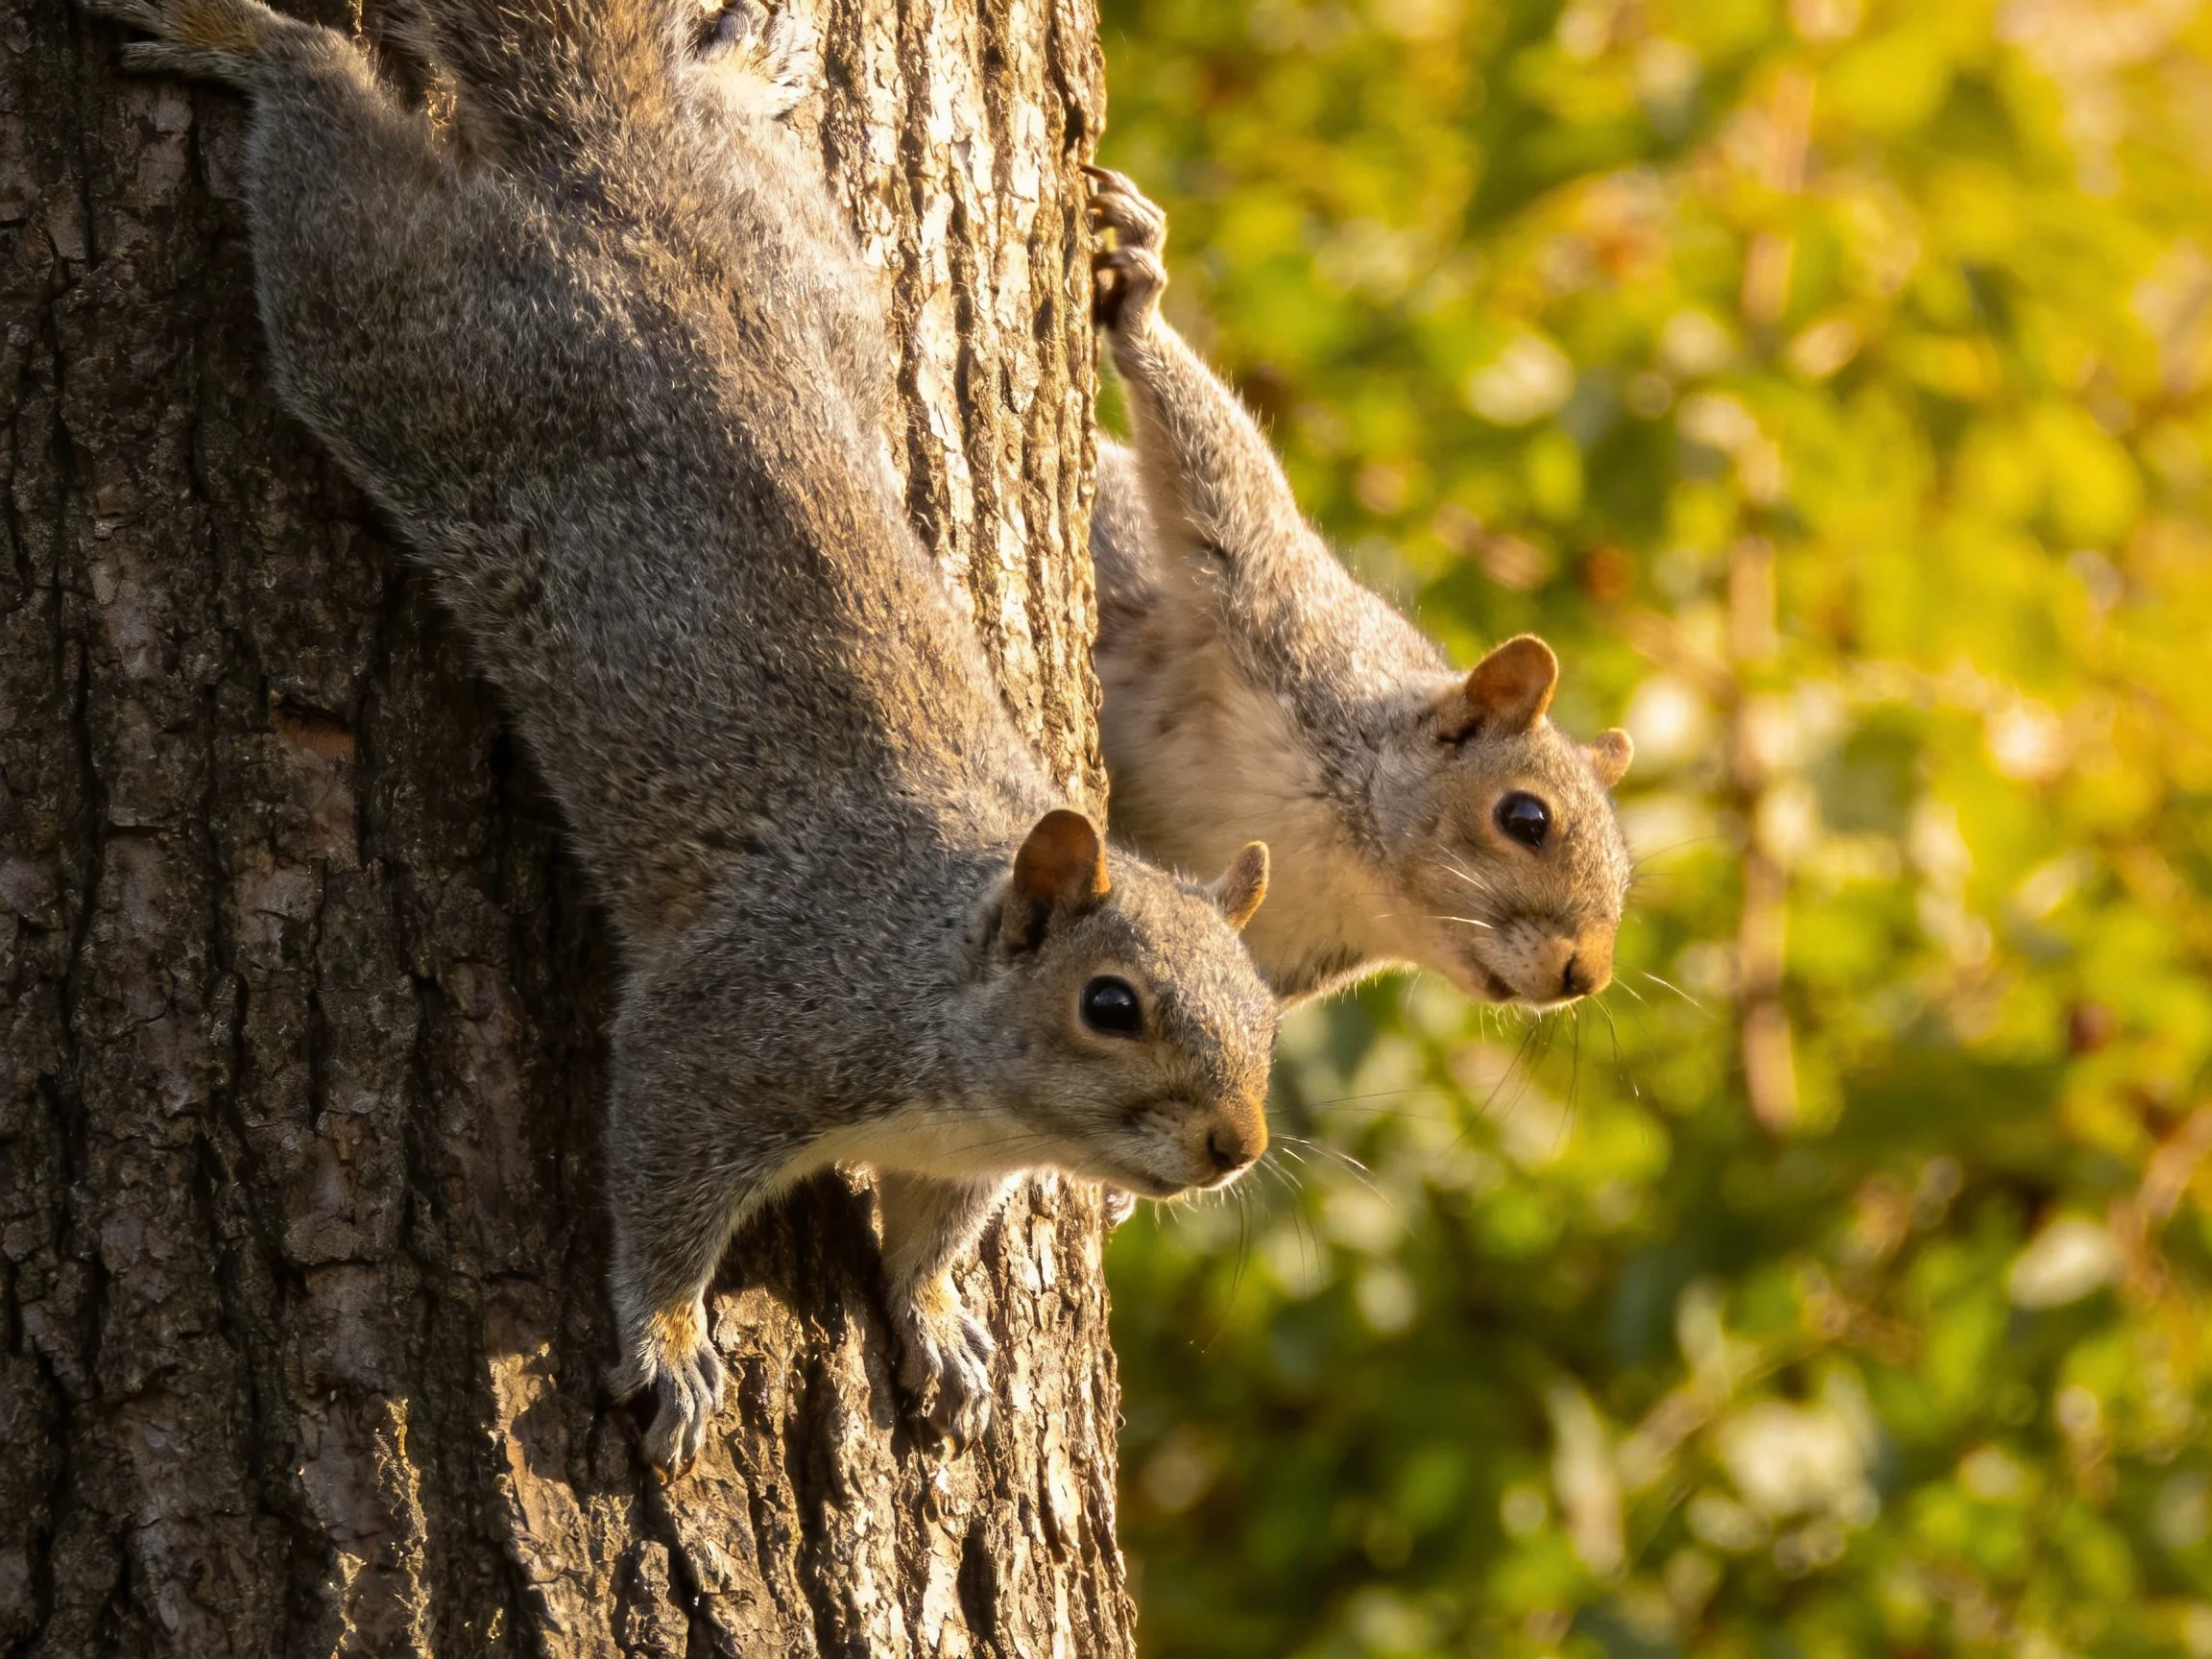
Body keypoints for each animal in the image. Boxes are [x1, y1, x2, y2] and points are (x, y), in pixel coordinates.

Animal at [82, 0, 1280, 1475]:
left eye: (1265, 1010)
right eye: (1111, 1006)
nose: (1236, 1142)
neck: (937, 984)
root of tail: (617, 177)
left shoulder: (954, 1153)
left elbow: (932, 1236)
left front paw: (938, 1314)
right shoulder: (731, 1027)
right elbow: (657, 1180)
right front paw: (666, 1338)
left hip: (816, 275)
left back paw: (735, 74)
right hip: (409, 336)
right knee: (324, 137)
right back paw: (244, 42)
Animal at [1084, 168, 1636, 1007]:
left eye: (1628, 875)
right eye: (1525, 818)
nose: (1587, 976)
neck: (1345, 870)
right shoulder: (1283, 613)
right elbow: (1220, 466)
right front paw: (1143, 296)